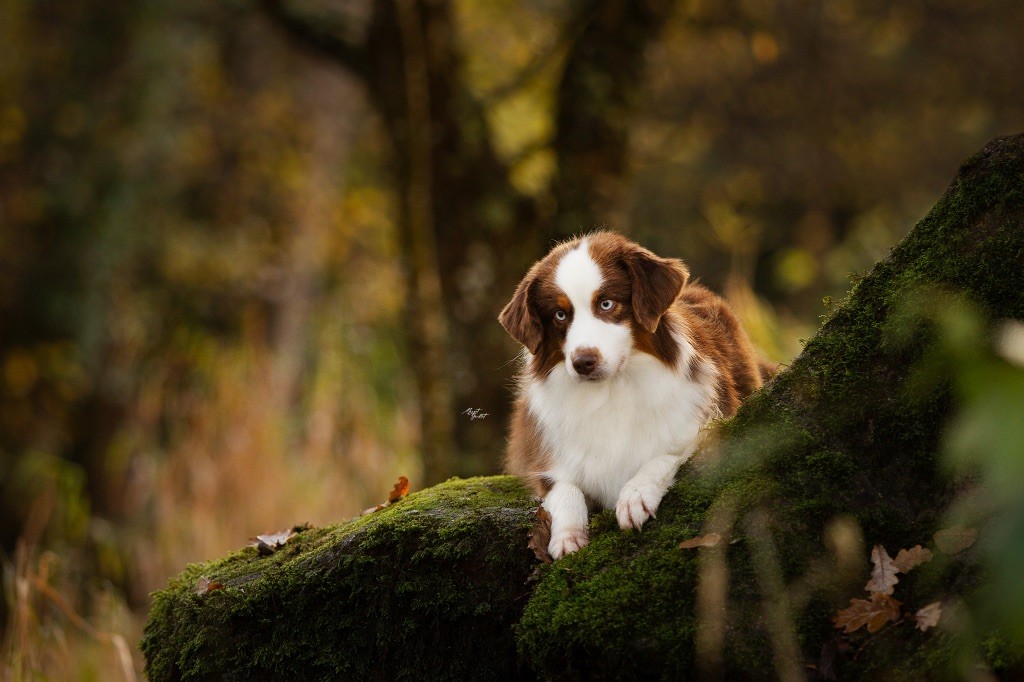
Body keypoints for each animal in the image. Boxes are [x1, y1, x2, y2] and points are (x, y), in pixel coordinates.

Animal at [495, 231, 770, 557]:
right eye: (560, 315)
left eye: (606, 304)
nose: (583, 362)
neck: (612, 390)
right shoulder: (539, 455)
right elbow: (564, 488)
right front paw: (566, 535)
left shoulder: (709, 423)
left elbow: (664, 454)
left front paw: (634, 495)